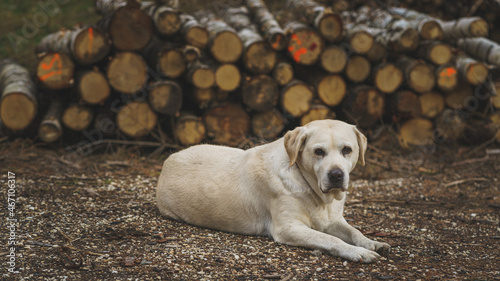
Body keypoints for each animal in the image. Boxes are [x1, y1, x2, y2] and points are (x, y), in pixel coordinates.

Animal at [156, 119, 390, 262]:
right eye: (318, 151)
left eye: (347, 150)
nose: (336, 175)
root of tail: (168, 159)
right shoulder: (288, 228)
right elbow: (331, 240)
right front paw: (358, 252)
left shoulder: (333, 221)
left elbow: (355, 231)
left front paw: (372, 243)